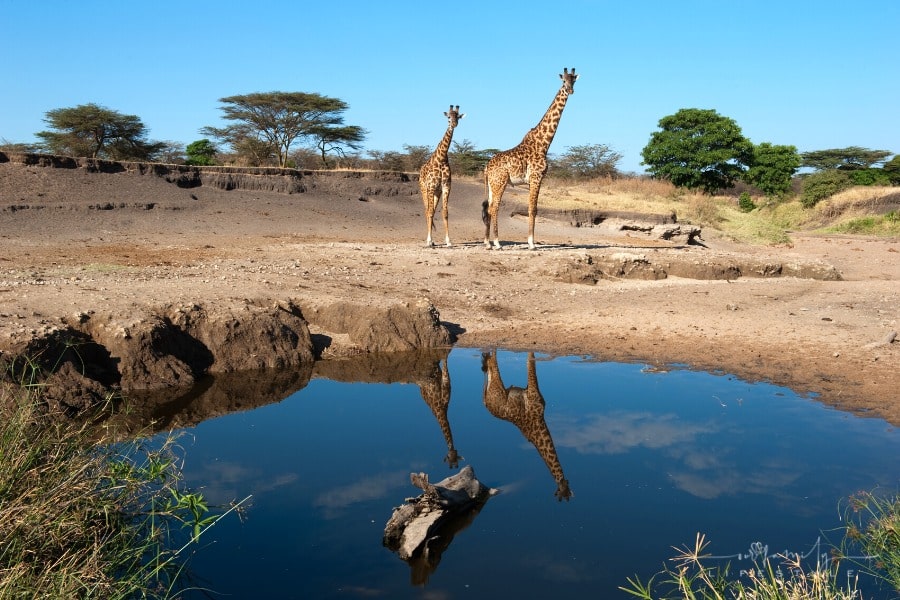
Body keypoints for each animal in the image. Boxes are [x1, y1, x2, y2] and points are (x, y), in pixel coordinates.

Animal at [419, 105, 465, 247]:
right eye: (448, 117)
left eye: (458, 116)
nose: (453, 124)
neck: (441, 158)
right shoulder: (431, 187)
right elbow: (429, 212)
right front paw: (429, 240)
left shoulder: (445, 187)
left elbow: (445, 213)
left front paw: (448, 241)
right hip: (424, 190)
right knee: (427, 211)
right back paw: (429, 240)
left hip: (436, 193)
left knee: (432, 211)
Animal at [481, 351, 572, 501]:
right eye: (566, 493)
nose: (568, 493)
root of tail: (487, 404)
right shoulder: (532, 390)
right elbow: (531, 363)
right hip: (498, 387)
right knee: (494, 364)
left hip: (493, 389)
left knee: (488, 372)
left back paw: (485, 357)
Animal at [482, 68, 579, 250]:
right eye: (563, 81)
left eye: (574, 80)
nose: (570, 90)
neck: (543, 143)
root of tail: (486, 168)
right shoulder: (536, 177)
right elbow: (532, 209)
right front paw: (532, 243)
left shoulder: (533, 180)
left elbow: (532, 209)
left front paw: (531, 241)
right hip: (500, 182)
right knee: (494, 208)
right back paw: (497, 243)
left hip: (492, 185)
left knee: (488, 208)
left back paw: (487, 242)